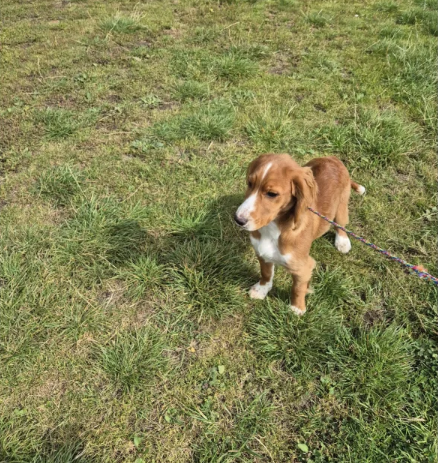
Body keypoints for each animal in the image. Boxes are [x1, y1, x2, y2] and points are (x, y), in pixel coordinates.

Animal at [234, 154, 364, 318]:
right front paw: (261, 290)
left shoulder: (303, 267)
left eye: (272, 194)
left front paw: (297, 308)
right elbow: (266, 273)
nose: (238, 220)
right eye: (250, 183)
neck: (274, 227)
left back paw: (342, 242)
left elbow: (297, 289)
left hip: (341, 205)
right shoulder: (262, 253)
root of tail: (333, 158)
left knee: (340, 224)